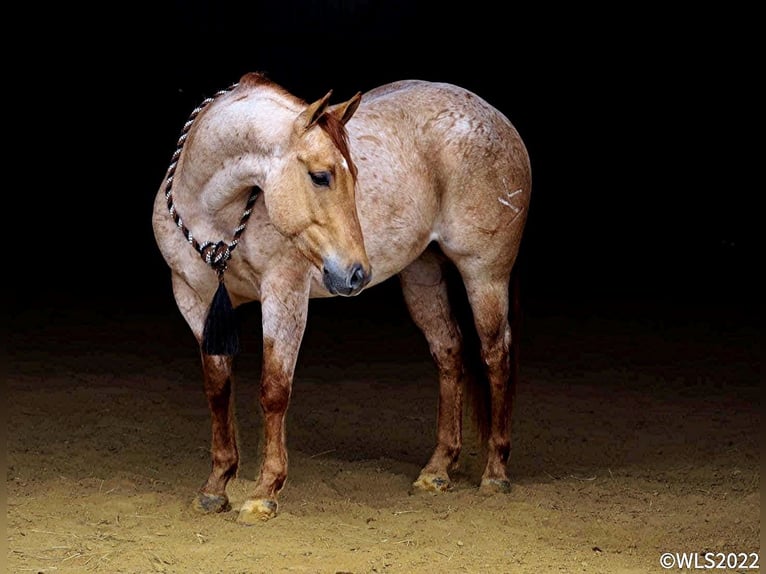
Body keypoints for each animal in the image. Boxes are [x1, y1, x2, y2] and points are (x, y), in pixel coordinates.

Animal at [152, 70, 532, 524]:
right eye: (321, 176)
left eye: (354, 174)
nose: (356, 274)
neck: (214, 215)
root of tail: (497, 118)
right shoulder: (193, 298)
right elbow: (217, 388)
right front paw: (215, 486)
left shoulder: (284, 292)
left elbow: (274, 389)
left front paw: (264, 492)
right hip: (422, 274)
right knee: (449, 353)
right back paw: (437, 470)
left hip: (485, 274)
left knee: (496, 356)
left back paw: (495, 473)